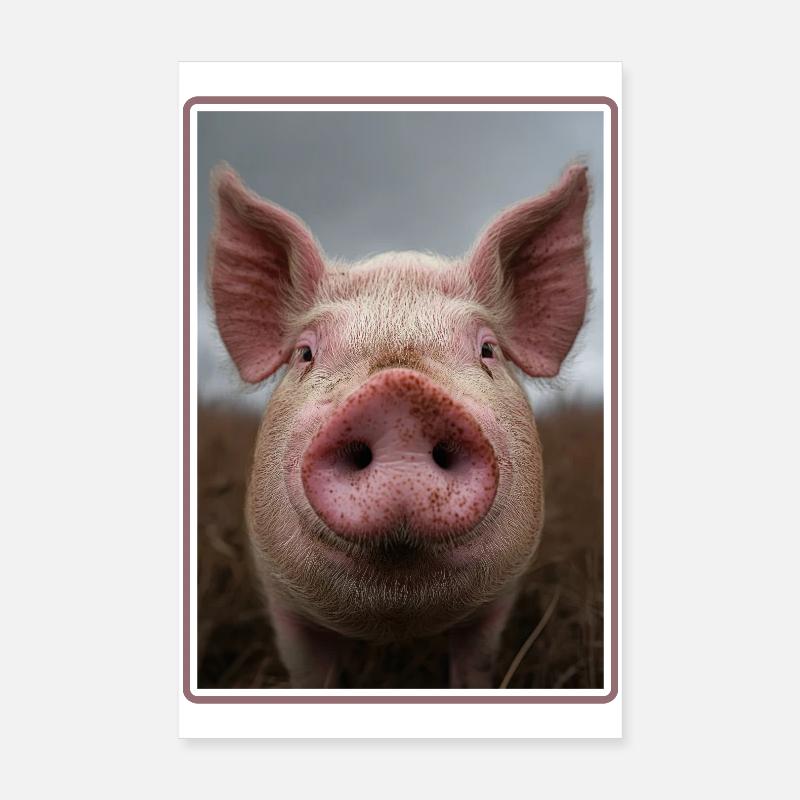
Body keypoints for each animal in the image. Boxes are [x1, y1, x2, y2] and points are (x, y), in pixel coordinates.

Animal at [208, 162, 589, 688]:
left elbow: (475, 667)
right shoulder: (284, 603)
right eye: (305, 353)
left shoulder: (497, 603)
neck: (396, 621)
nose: (400, 392)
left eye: (488, 350)